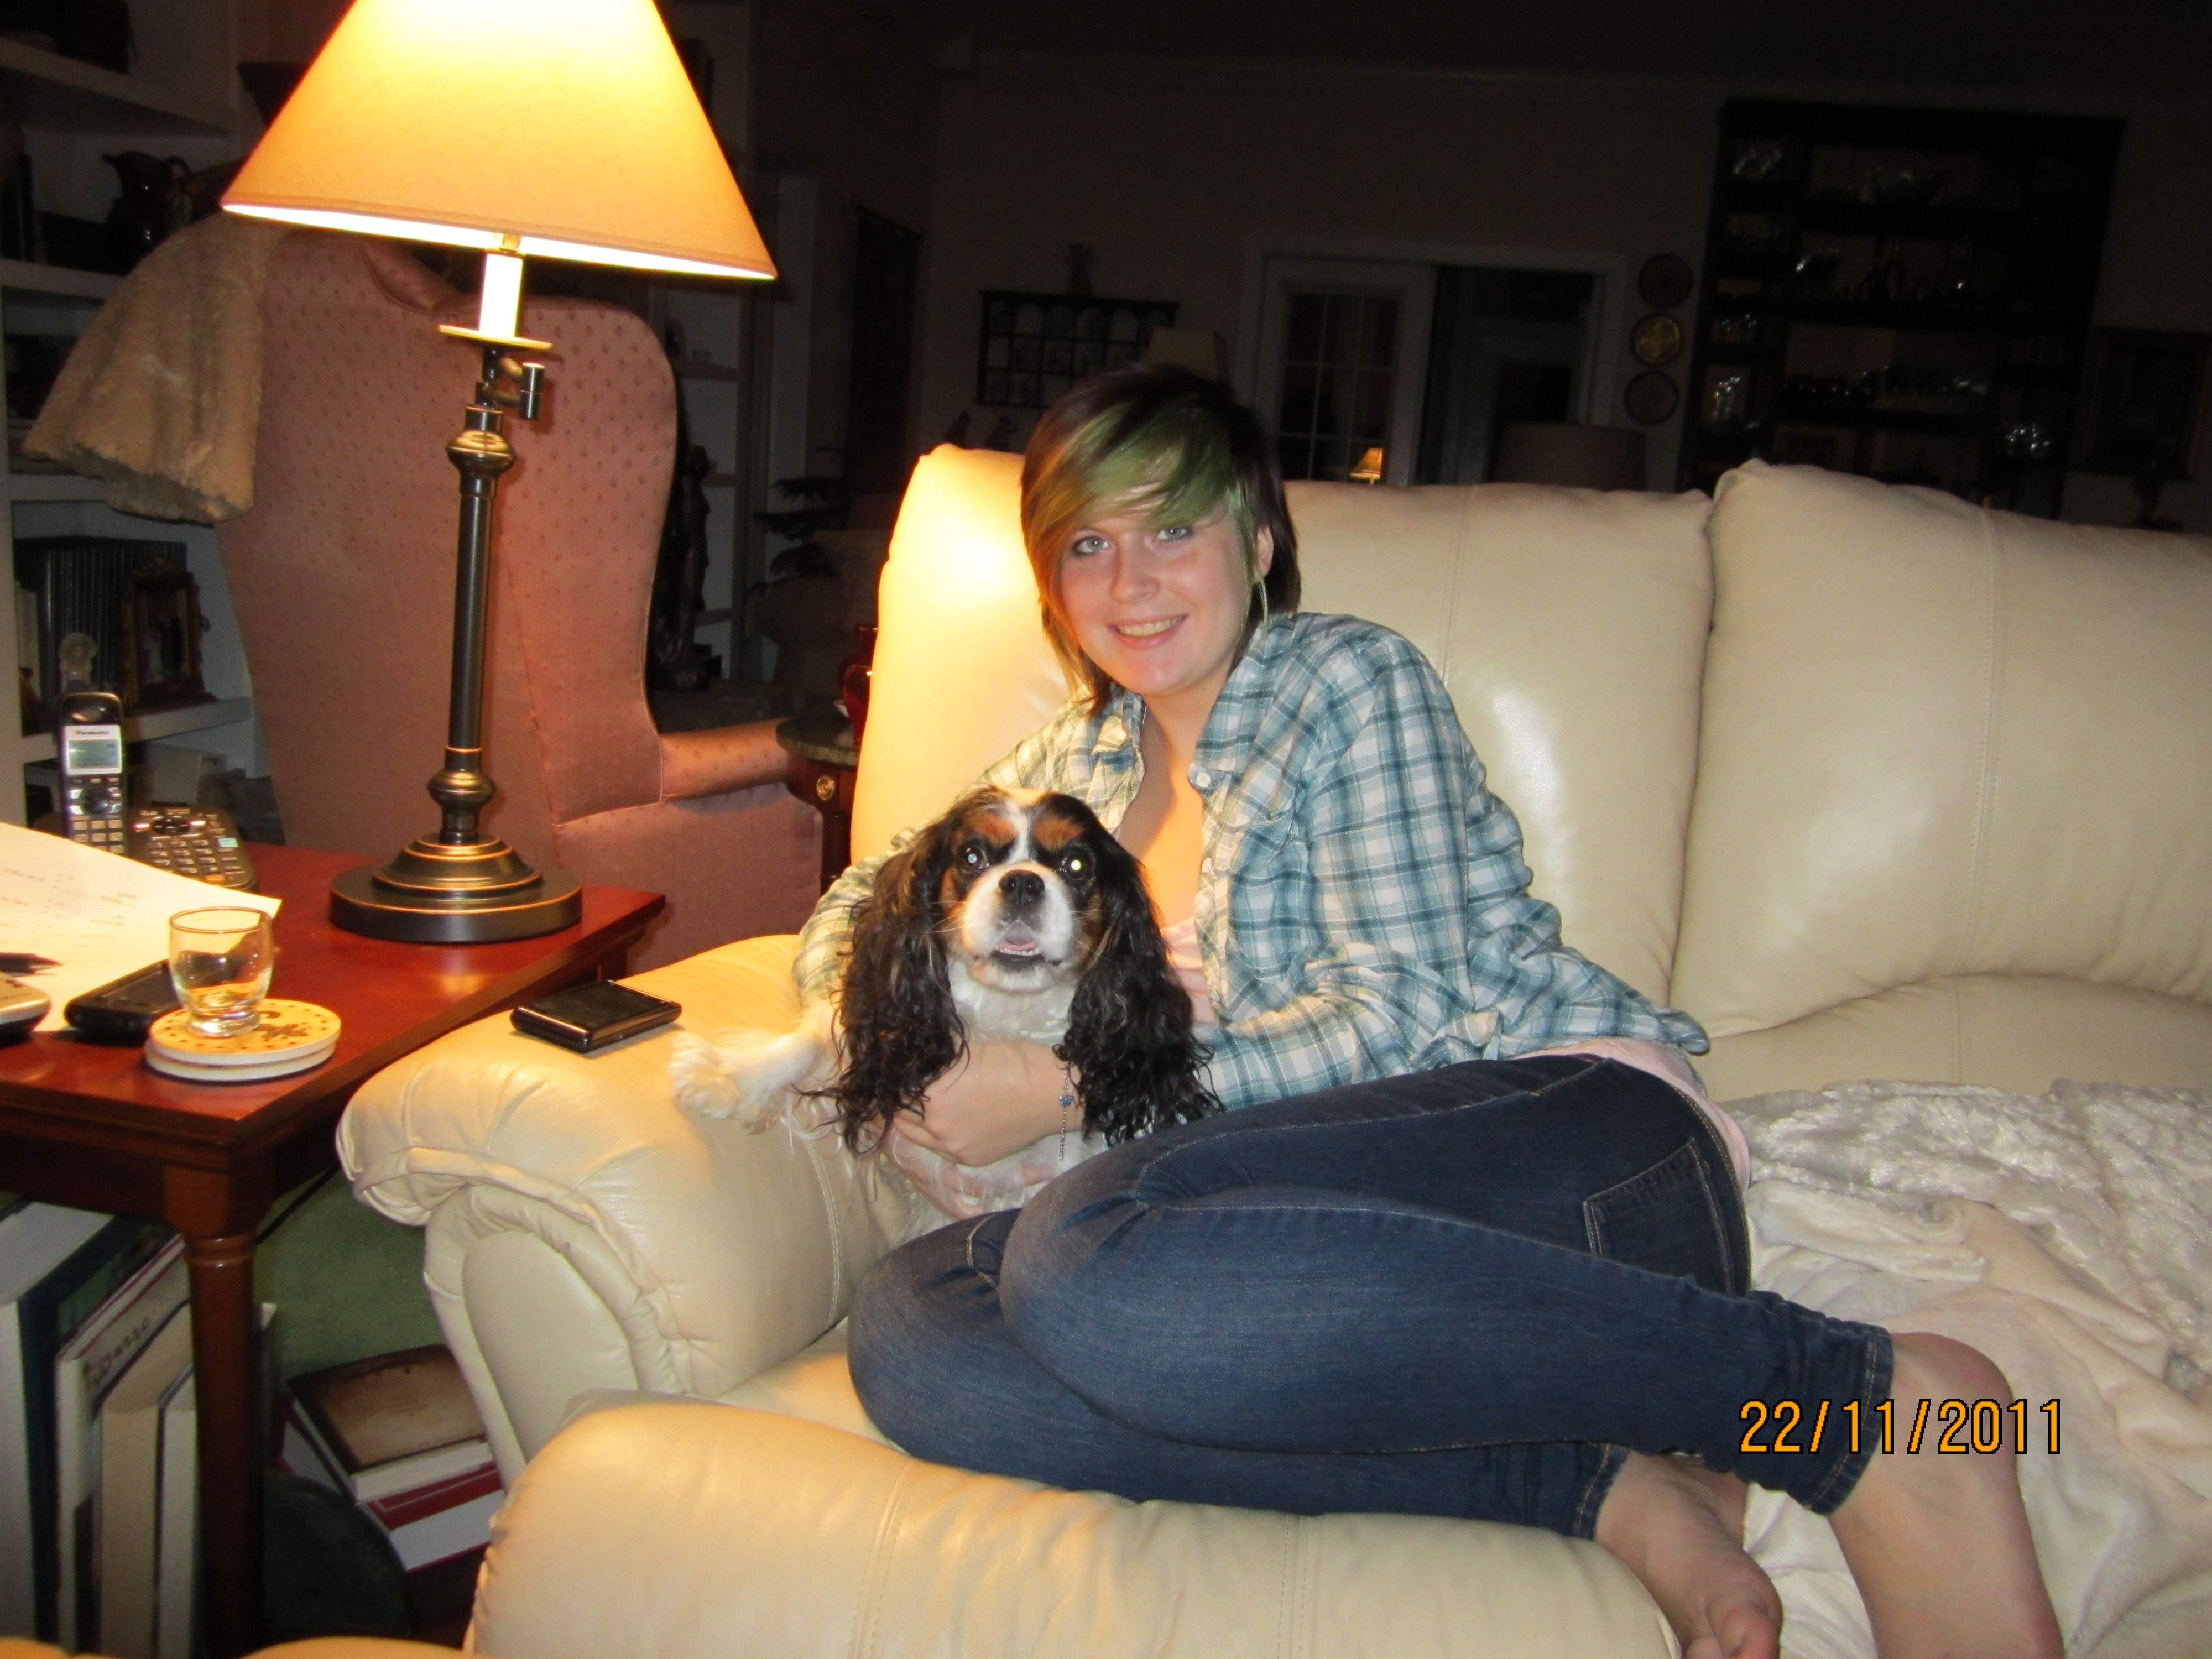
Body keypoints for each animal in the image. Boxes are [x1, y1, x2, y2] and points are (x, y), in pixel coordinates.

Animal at [671, 786, 1215, 1218]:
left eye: (1076, 864)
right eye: (972, 857)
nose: (1023, 881)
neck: (1007, 1009)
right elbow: (813, 1041)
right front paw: (728, 1077)